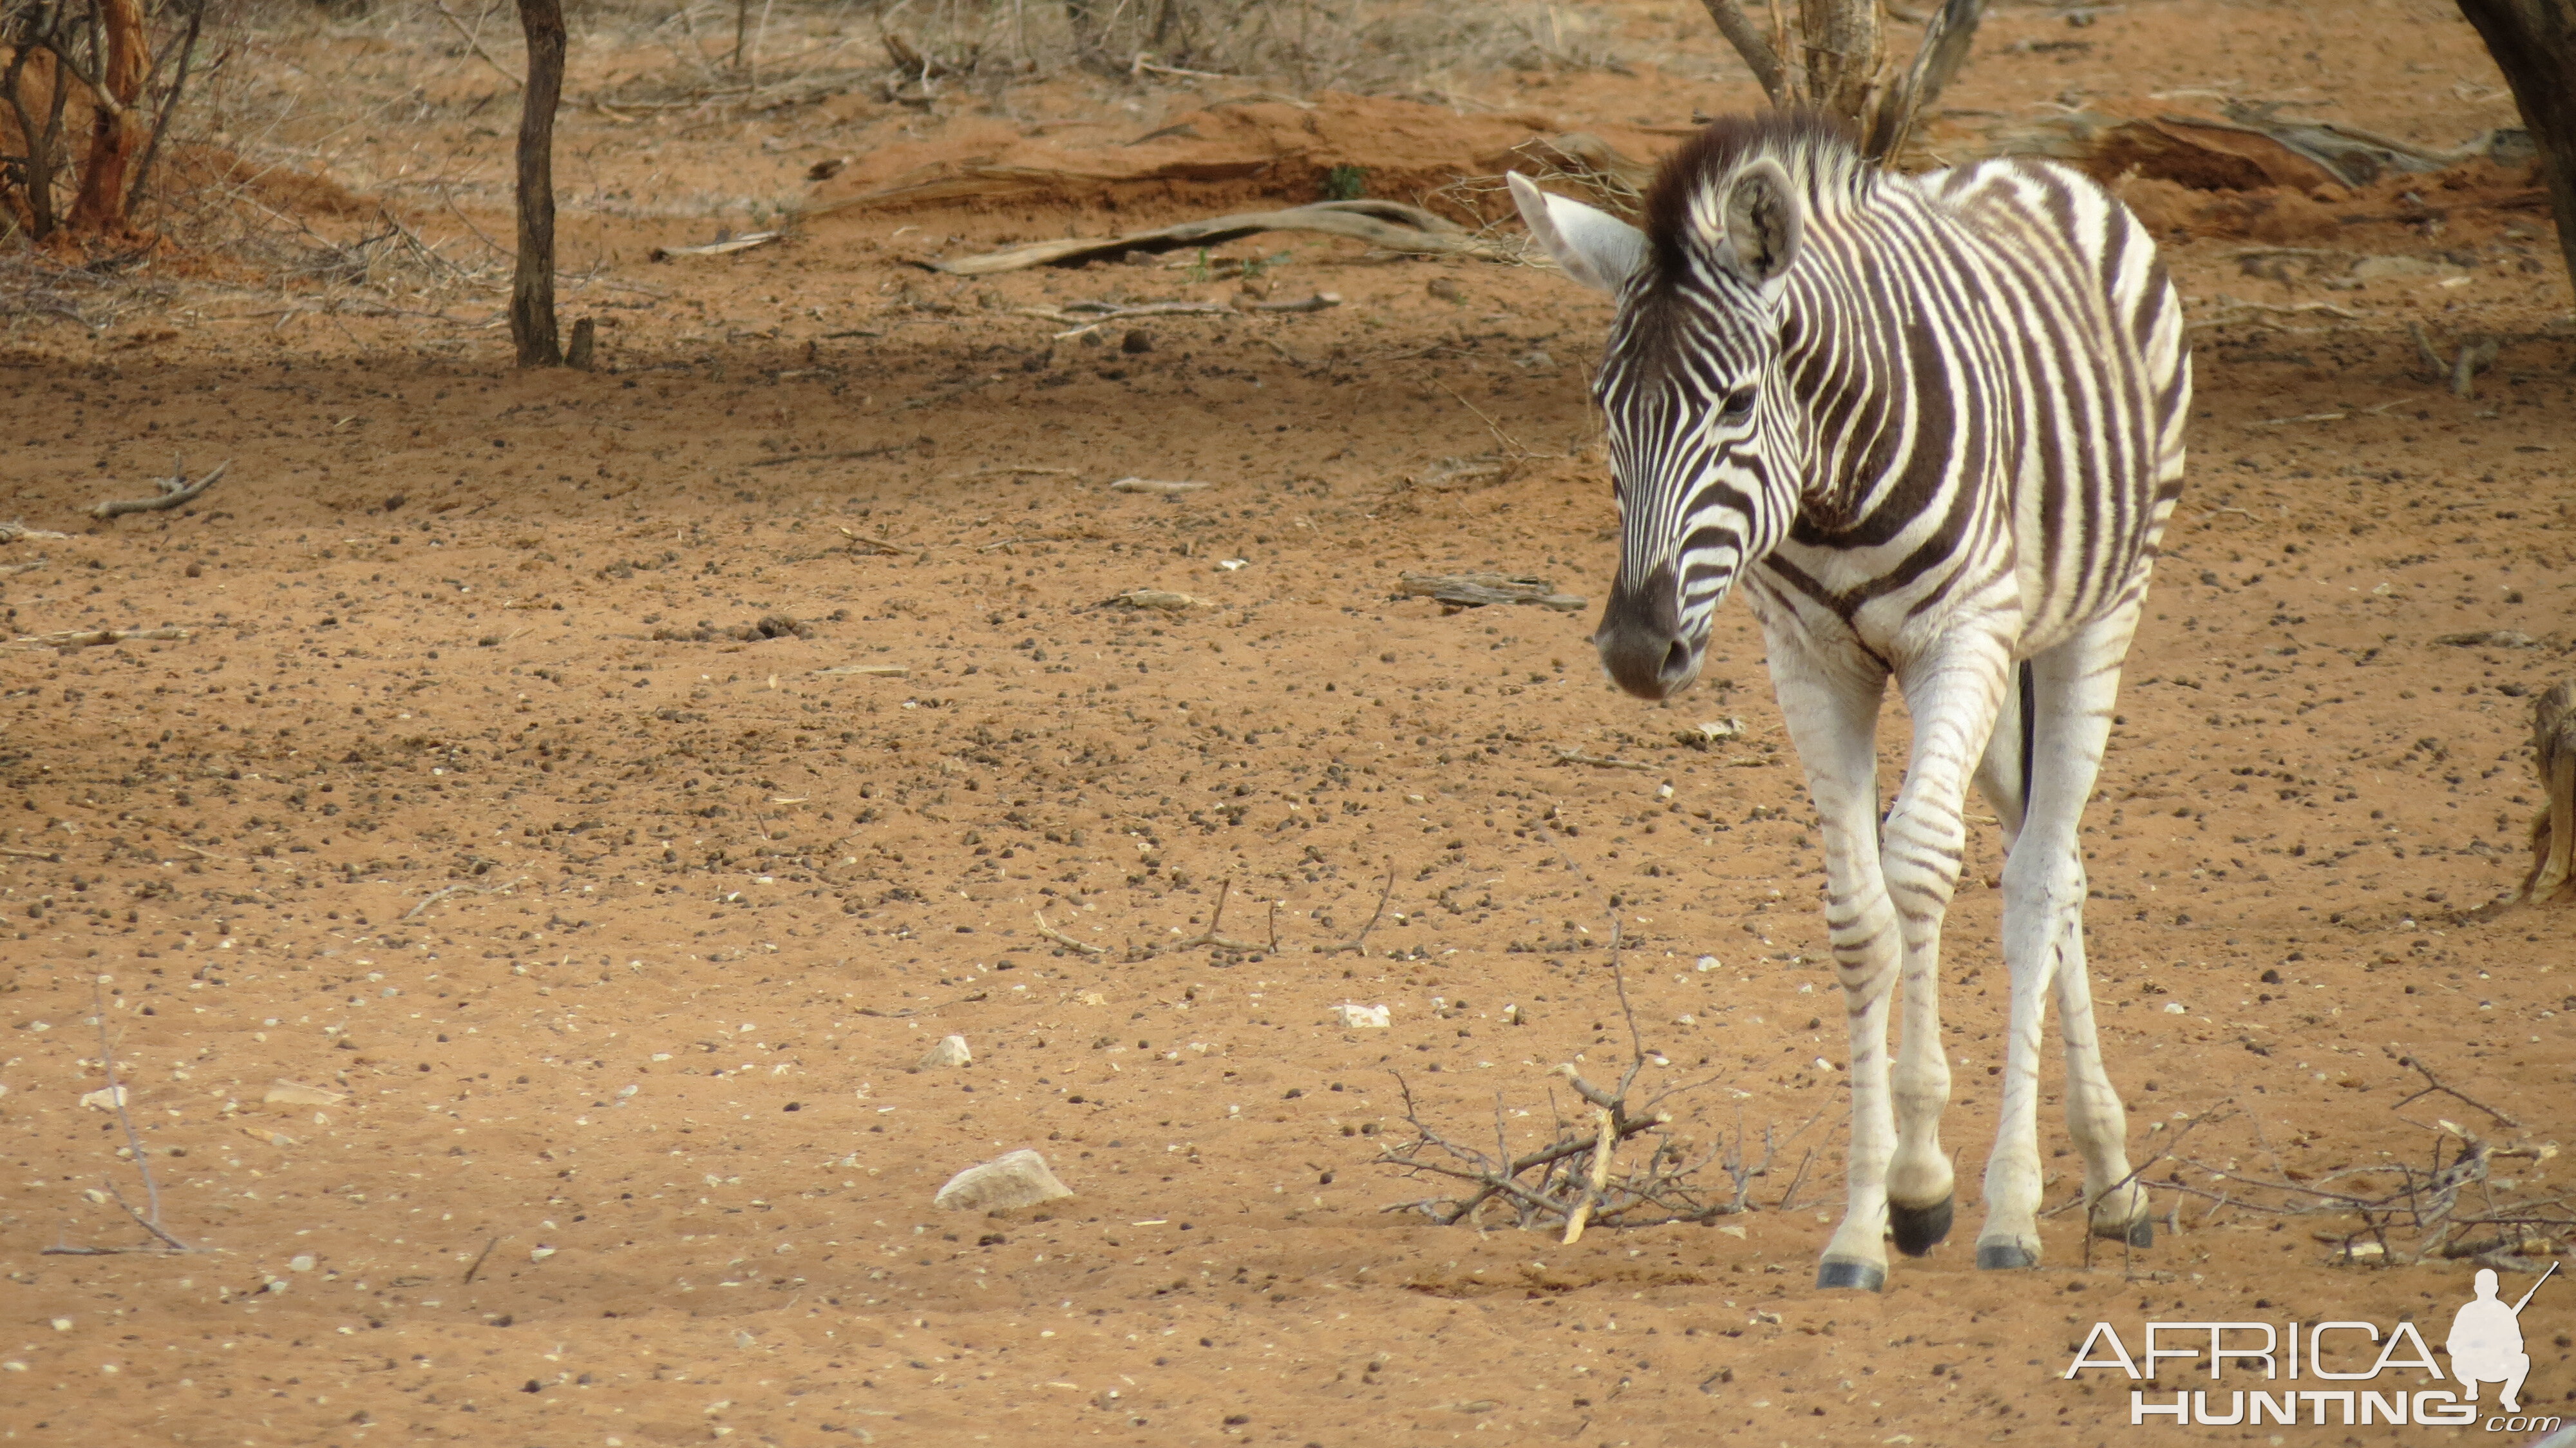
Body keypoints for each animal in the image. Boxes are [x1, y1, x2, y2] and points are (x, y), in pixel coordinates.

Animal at [1504, 113, 2195, 1283]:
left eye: (1737, 403)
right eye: (1604, 409)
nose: (1638, 649)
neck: (1832, 484)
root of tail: (2036, 167)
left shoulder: (1962, 635)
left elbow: (1918, 865)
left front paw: (1940, 1187)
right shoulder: (1811, 663)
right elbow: (1861, 910)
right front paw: (1878, 1212)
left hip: (2098, 610)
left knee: (2037, 878)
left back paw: (2034, 1202)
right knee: (2054, 863)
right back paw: (2109, 1180)